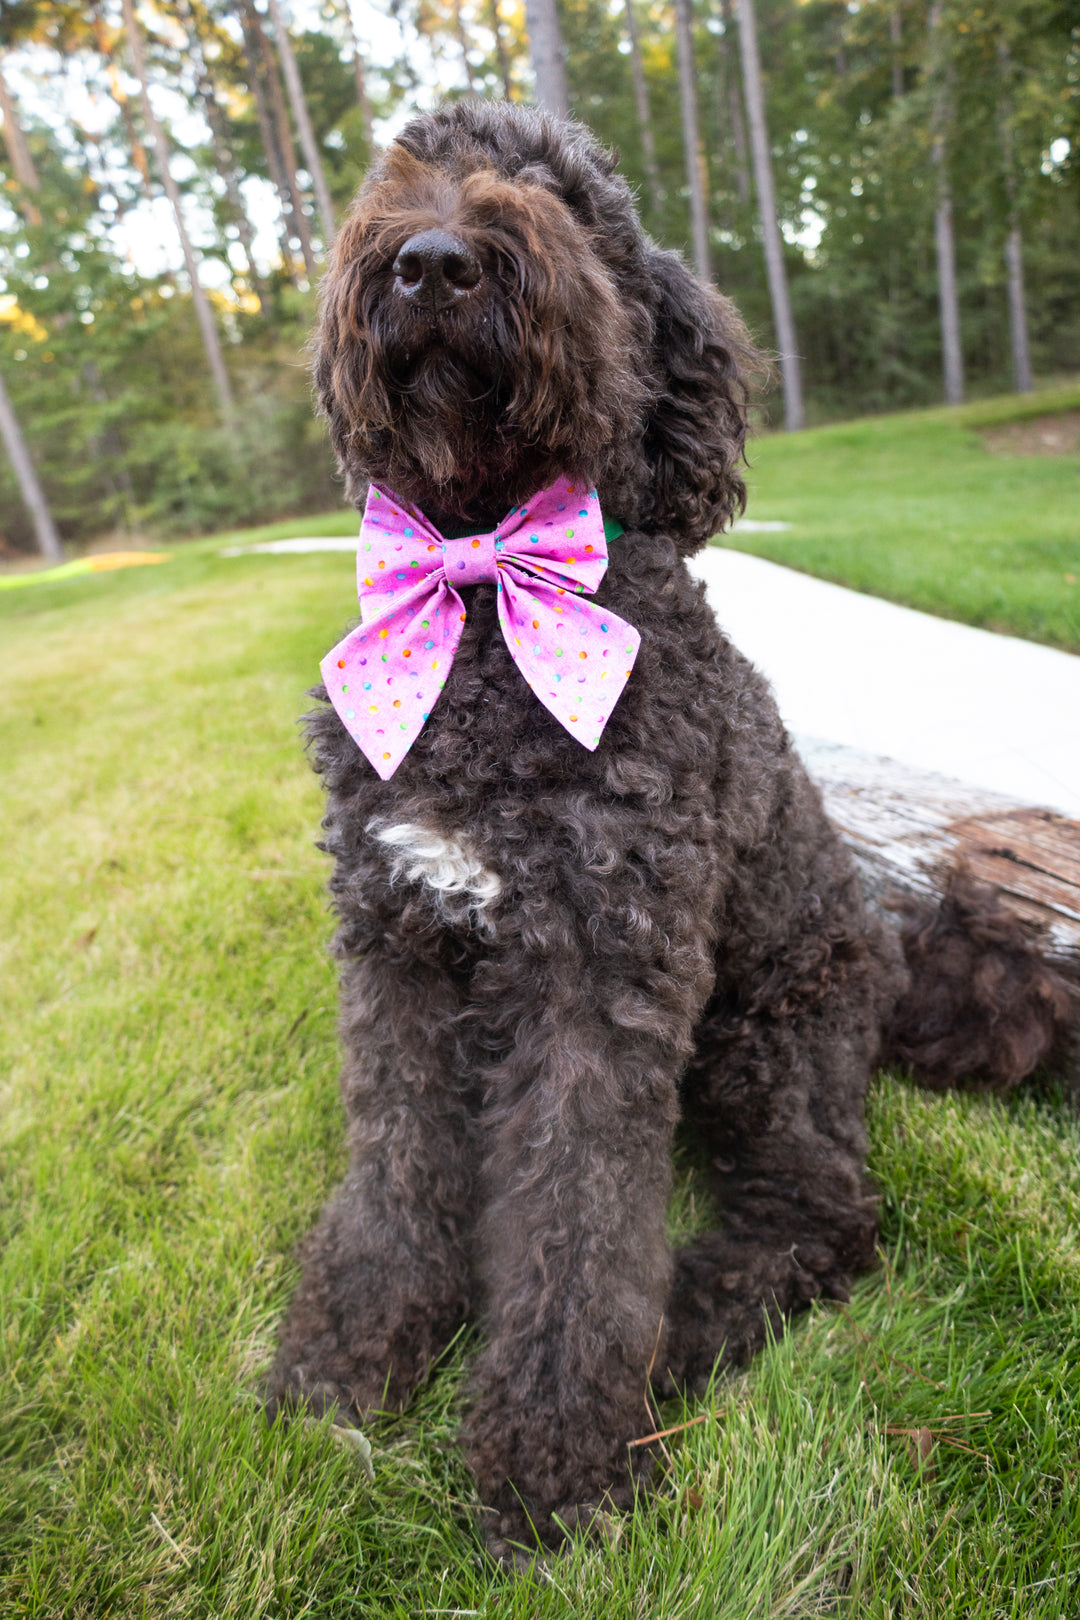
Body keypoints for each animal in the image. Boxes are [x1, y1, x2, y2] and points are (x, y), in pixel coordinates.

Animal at [268, 94, 1062, 1561]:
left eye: (573, 205)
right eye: (402, 166)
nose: (433, 261)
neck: (482, 590)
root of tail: (895, 957)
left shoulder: (600, 971)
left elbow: (577, 1227)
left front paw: (553, 1467)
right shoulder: (397, 948)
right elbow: (395, 1170)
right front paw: (347, 1364)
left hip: (769, 1040)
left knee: (826, 1218)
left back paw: (682, 1335)